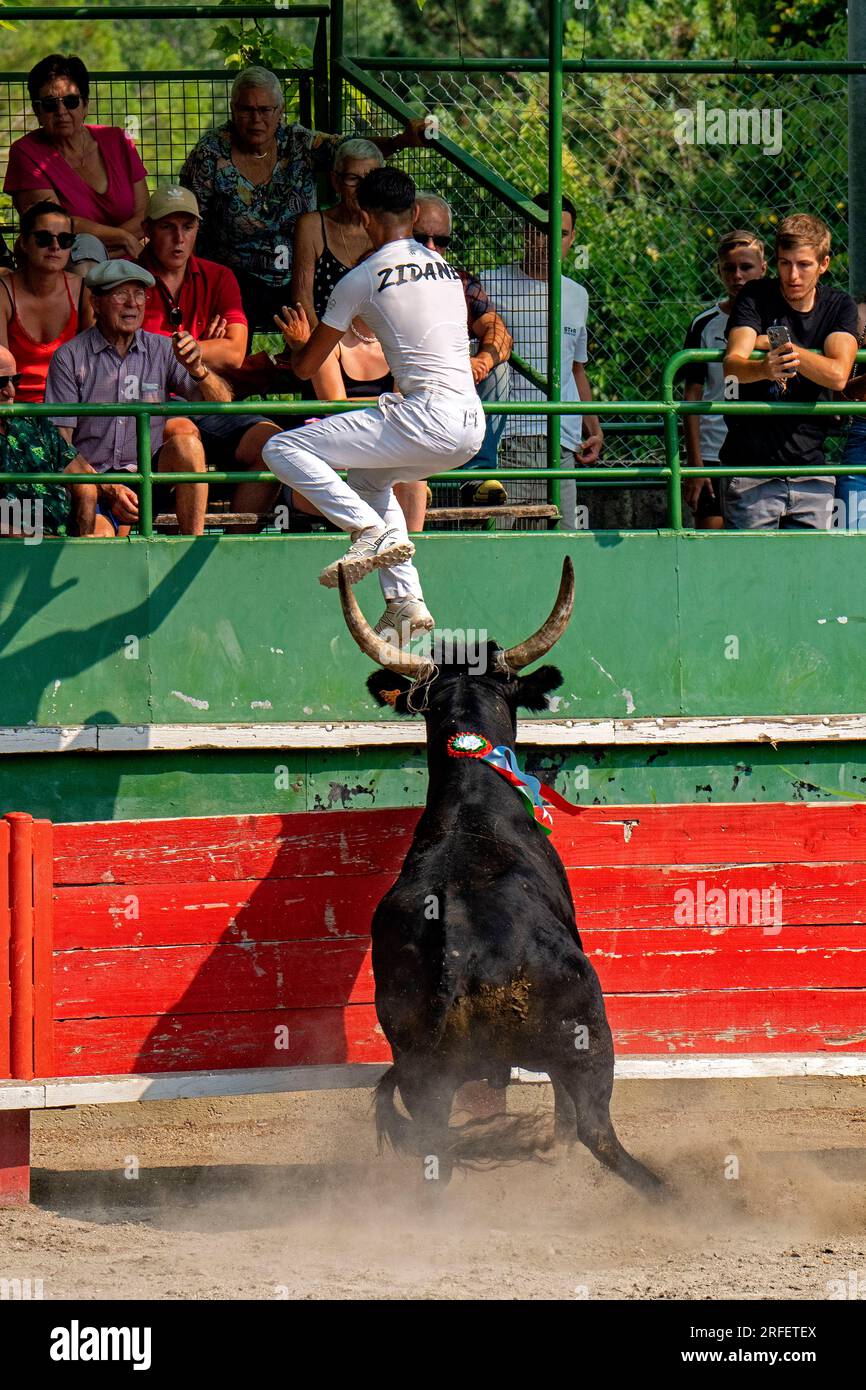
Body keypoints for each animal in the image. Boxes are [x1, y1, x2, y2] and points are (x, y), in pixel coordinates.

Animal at [337, 553, 664, 1195]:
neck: (473, 796)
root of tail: (457, 956)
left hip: (426, 1078)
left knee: (435, 1155)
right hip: (588, 1038)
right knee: (594, 1130)